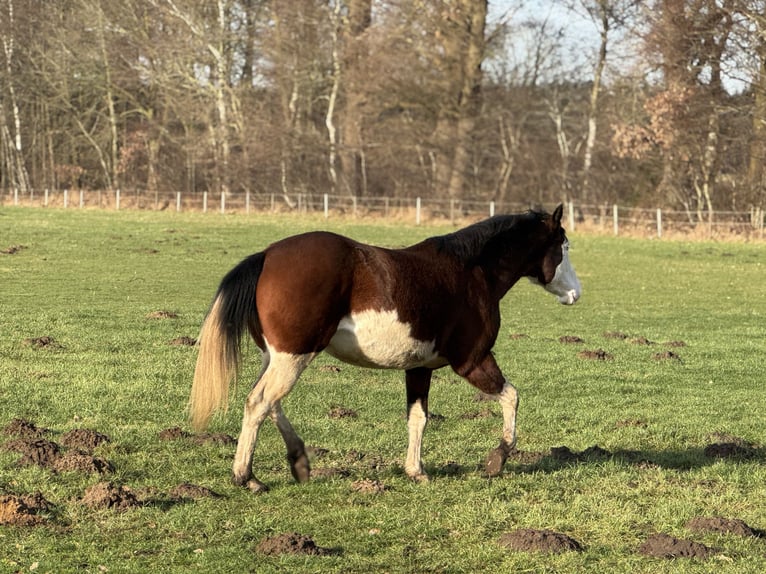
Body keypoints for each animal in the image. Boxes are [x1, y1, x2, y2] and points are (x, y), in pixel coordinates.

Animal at [189, 204, 581, 493]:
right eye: (563, 245)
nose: (576, 293)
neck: (472, 272)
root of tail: (267, 255)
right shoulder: (472, 361)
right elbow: (511, 397)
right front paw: (497, 458)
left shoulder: (419, 367)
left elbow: (418, 418)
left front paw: (416, 470)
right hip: (293, 357)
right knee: (259, 402)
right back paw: (247, 477)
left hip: (276, 357)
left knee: (269, 403)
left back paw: (298, 461)